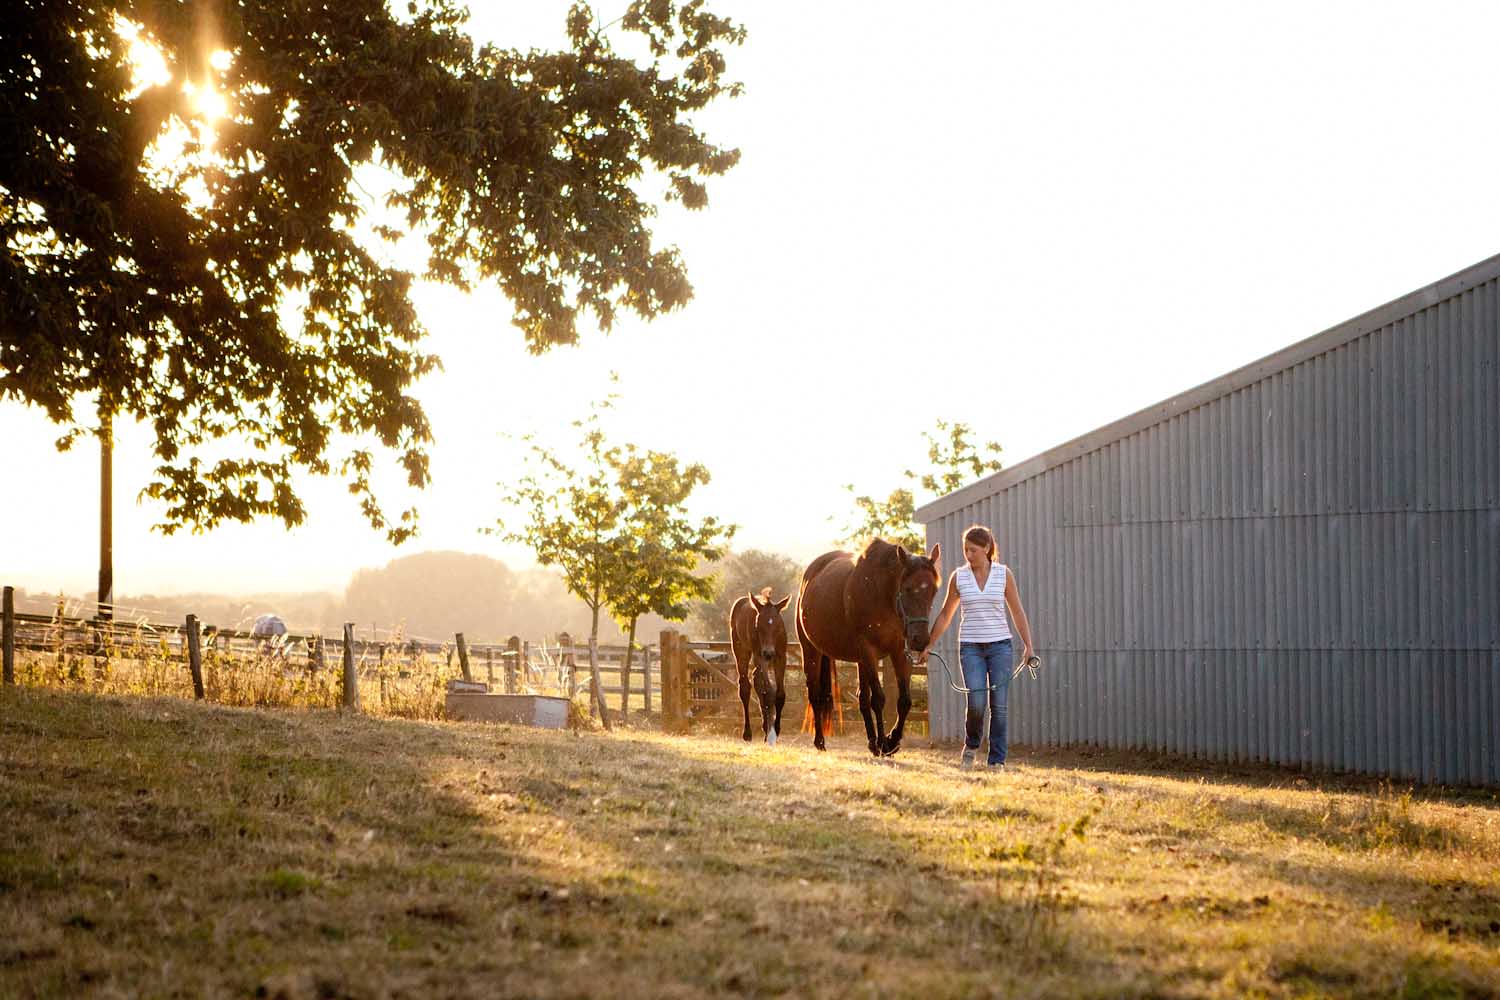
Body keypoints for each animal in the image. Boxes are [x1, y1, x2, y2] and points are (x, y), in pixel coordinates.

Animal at [729, 590, 792, 746]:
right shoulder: (760, 656)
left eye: (778, 626)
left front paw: (776, 728)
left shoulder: (781, 657)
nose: (768, 653)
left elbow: (780, 694)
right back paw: (748, 733)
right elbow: (768, 691)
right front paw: (771, 732)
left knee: (757, 679)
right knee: (745, 686)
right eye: (758, 626)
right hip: (741, 649)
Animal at [798, 542, 936, 755]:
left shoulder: (899, 651)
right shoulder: (868, 651)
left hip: (859, 660)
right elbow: (878, 699)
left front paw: (892, 740)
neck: (882, 595)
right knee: (815, 694)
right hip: (812, 651)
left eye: (934, 591)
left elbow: (904, 701)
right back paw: (820, 741)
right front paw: (884, 743)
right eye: (907, 588)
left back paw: (871, 742)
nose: (920, 639)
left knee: (861, 697)